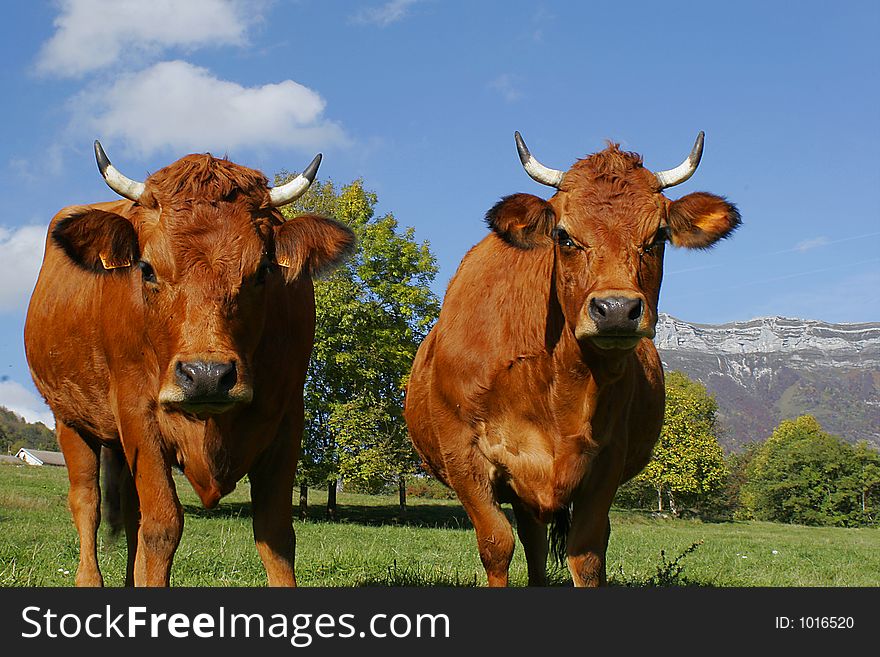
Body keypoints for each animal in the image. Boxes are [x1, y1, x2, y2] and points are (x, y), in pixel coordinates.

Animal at [24, 142, 354, 584]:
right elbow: (162, 526)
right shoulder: (137, 414)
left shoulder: (287, 419)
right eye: (147, 269)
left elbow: (276, 534)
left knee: (131, 514)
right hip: (70, 419)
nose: (208, 376)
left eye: (262, 270)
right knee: (86, 502)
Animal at [402, 131, 740, 588]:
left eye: (658, 237)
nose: (616, 309)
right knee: (531, 539)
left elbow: (587, 553)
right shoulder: (462, 453)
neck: (558, 382)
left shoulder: (608, 459)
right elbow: (496, 543)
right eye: (564, 237)